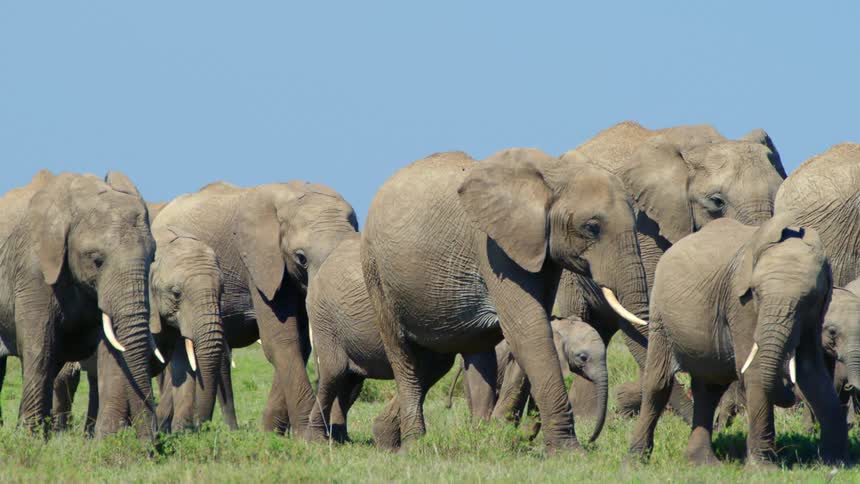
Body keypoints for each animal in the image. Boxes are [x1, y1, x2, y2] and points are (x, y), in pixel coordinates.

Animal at [0, 170, 157, 438]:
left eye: (153, 257)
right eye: (97, 261)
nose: (154, 441)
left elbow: (110, 352)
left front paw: (103, 441)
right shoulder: (32, 269)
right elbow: (40, 346)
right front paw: (29, 438)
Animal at [146, 180, 358, 436]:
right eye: (301, 258)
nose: (336, 433)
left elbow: (299, 341)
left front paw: (271, 430)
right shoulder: (259, 264)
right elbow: (280, 340)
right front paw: (304, 433)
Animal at [361, 148, 651, 452]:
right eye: (592, 227)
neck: (554, 173)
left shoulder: (542, 248)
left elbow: (535, 326)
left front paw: (504, 435)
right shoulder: (492, 246)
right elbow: (528, 330)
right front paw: (568, 452)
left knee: (461, 356)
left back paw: (476, 434)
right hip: (376, 273)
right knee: (404, 359)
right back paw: (415, 445)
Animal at [629, 215, 847, 466]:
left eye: (809, 299)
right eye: (758, 294)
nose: (789, 389)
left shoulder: (815, 315)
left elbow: (812, 372)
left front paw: (837, 461)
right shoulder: (740, 303)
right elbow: (755, 369)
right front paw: (764, 468)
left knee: (708, 390)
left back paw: (703, 463)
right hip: (660, 314)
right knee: (658, 384)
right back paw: (634, 463)